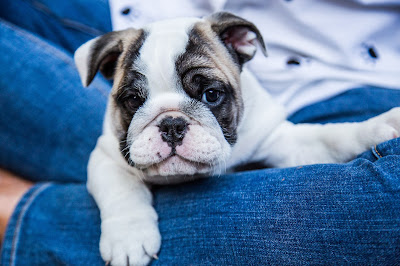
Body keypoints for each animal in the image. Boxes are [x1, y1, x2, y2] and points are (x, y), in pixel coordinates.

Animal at [73, 12, 398, 266]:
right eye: (133, 100)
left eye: (211, 95)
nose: (172, 124)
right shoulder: (106, 156)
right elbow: (122, 191)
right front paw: (129, 239)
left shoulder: (280, 140)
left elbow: (332, 138)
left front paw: (380, 125)